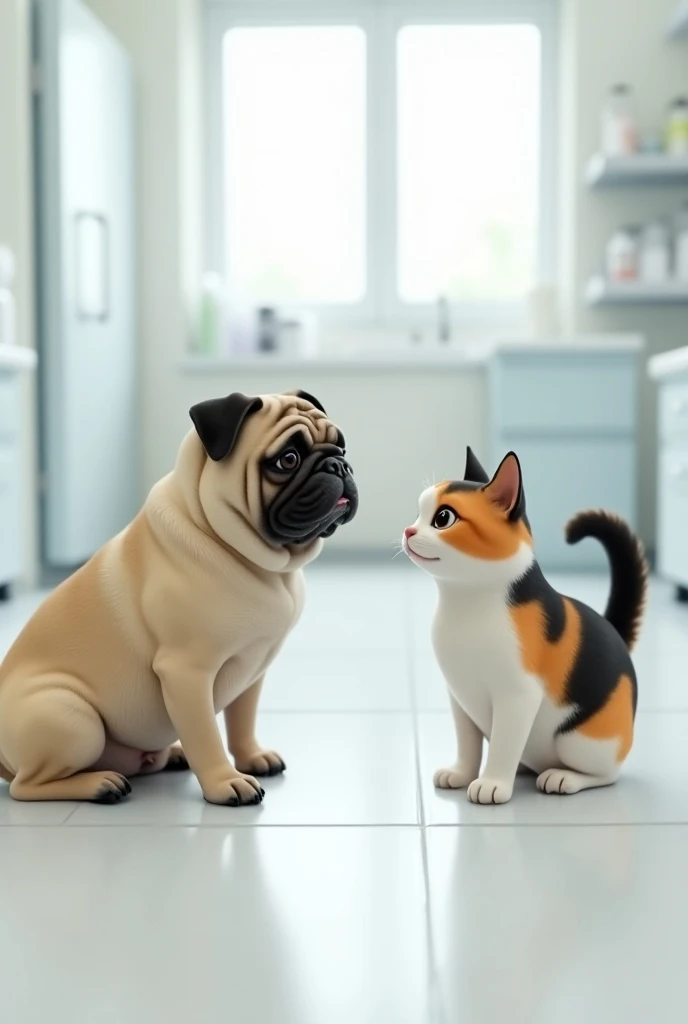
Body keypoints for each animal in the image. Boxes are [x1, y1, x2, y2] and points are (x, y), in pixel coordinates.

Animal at [0, 387, 354, 802]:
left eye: (342, 447)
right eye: (288, 459)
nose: (338, 466)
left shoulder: (252, 673)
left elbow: (241, 721)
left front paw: (252, 758)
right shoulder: (187, 672)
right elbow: (205, 734)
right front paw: (226, 783)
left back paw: (168, 755)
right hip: (72, 719)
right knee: (27, 786)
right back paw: (99, 783)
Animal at [401, 446, 647, 798]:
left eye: (443, 518)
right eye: (418, 514)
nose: (408, 531)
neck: (464, 603)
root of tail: (614, 631)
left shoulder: (517, 697)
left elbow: (505, 743)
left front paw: (492, 783)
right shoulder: (459, 696)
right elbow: (468, 743)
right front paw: (462, 773)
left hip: (580, 741)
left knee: (606, 773)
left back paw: (563, 777)